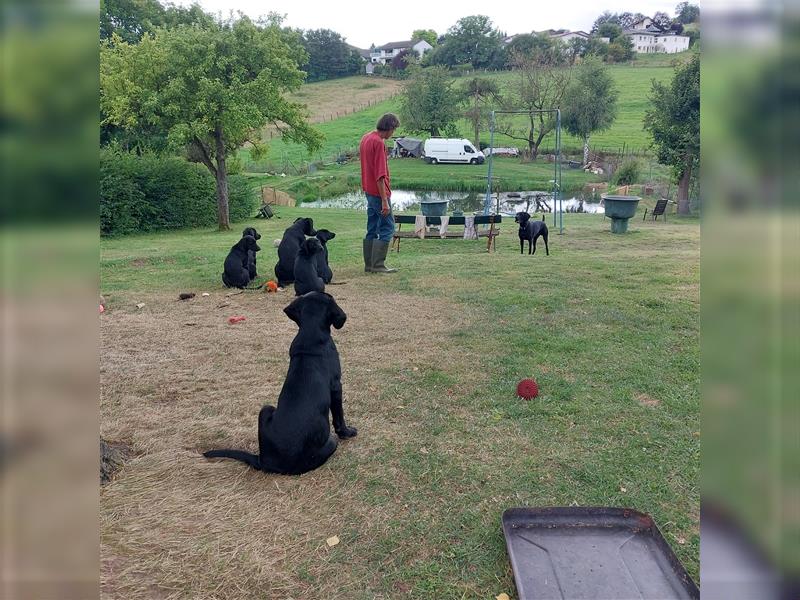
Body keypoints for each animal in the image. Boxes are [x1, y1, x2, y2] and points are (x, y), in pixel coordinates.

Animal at [205, 292, 358, 476]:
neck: (310, 332)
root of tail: (265, 461)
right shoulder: (336, 385)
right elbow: (339, 415)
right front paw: (348, 432)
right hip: (329, 442)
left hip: (265, 409)